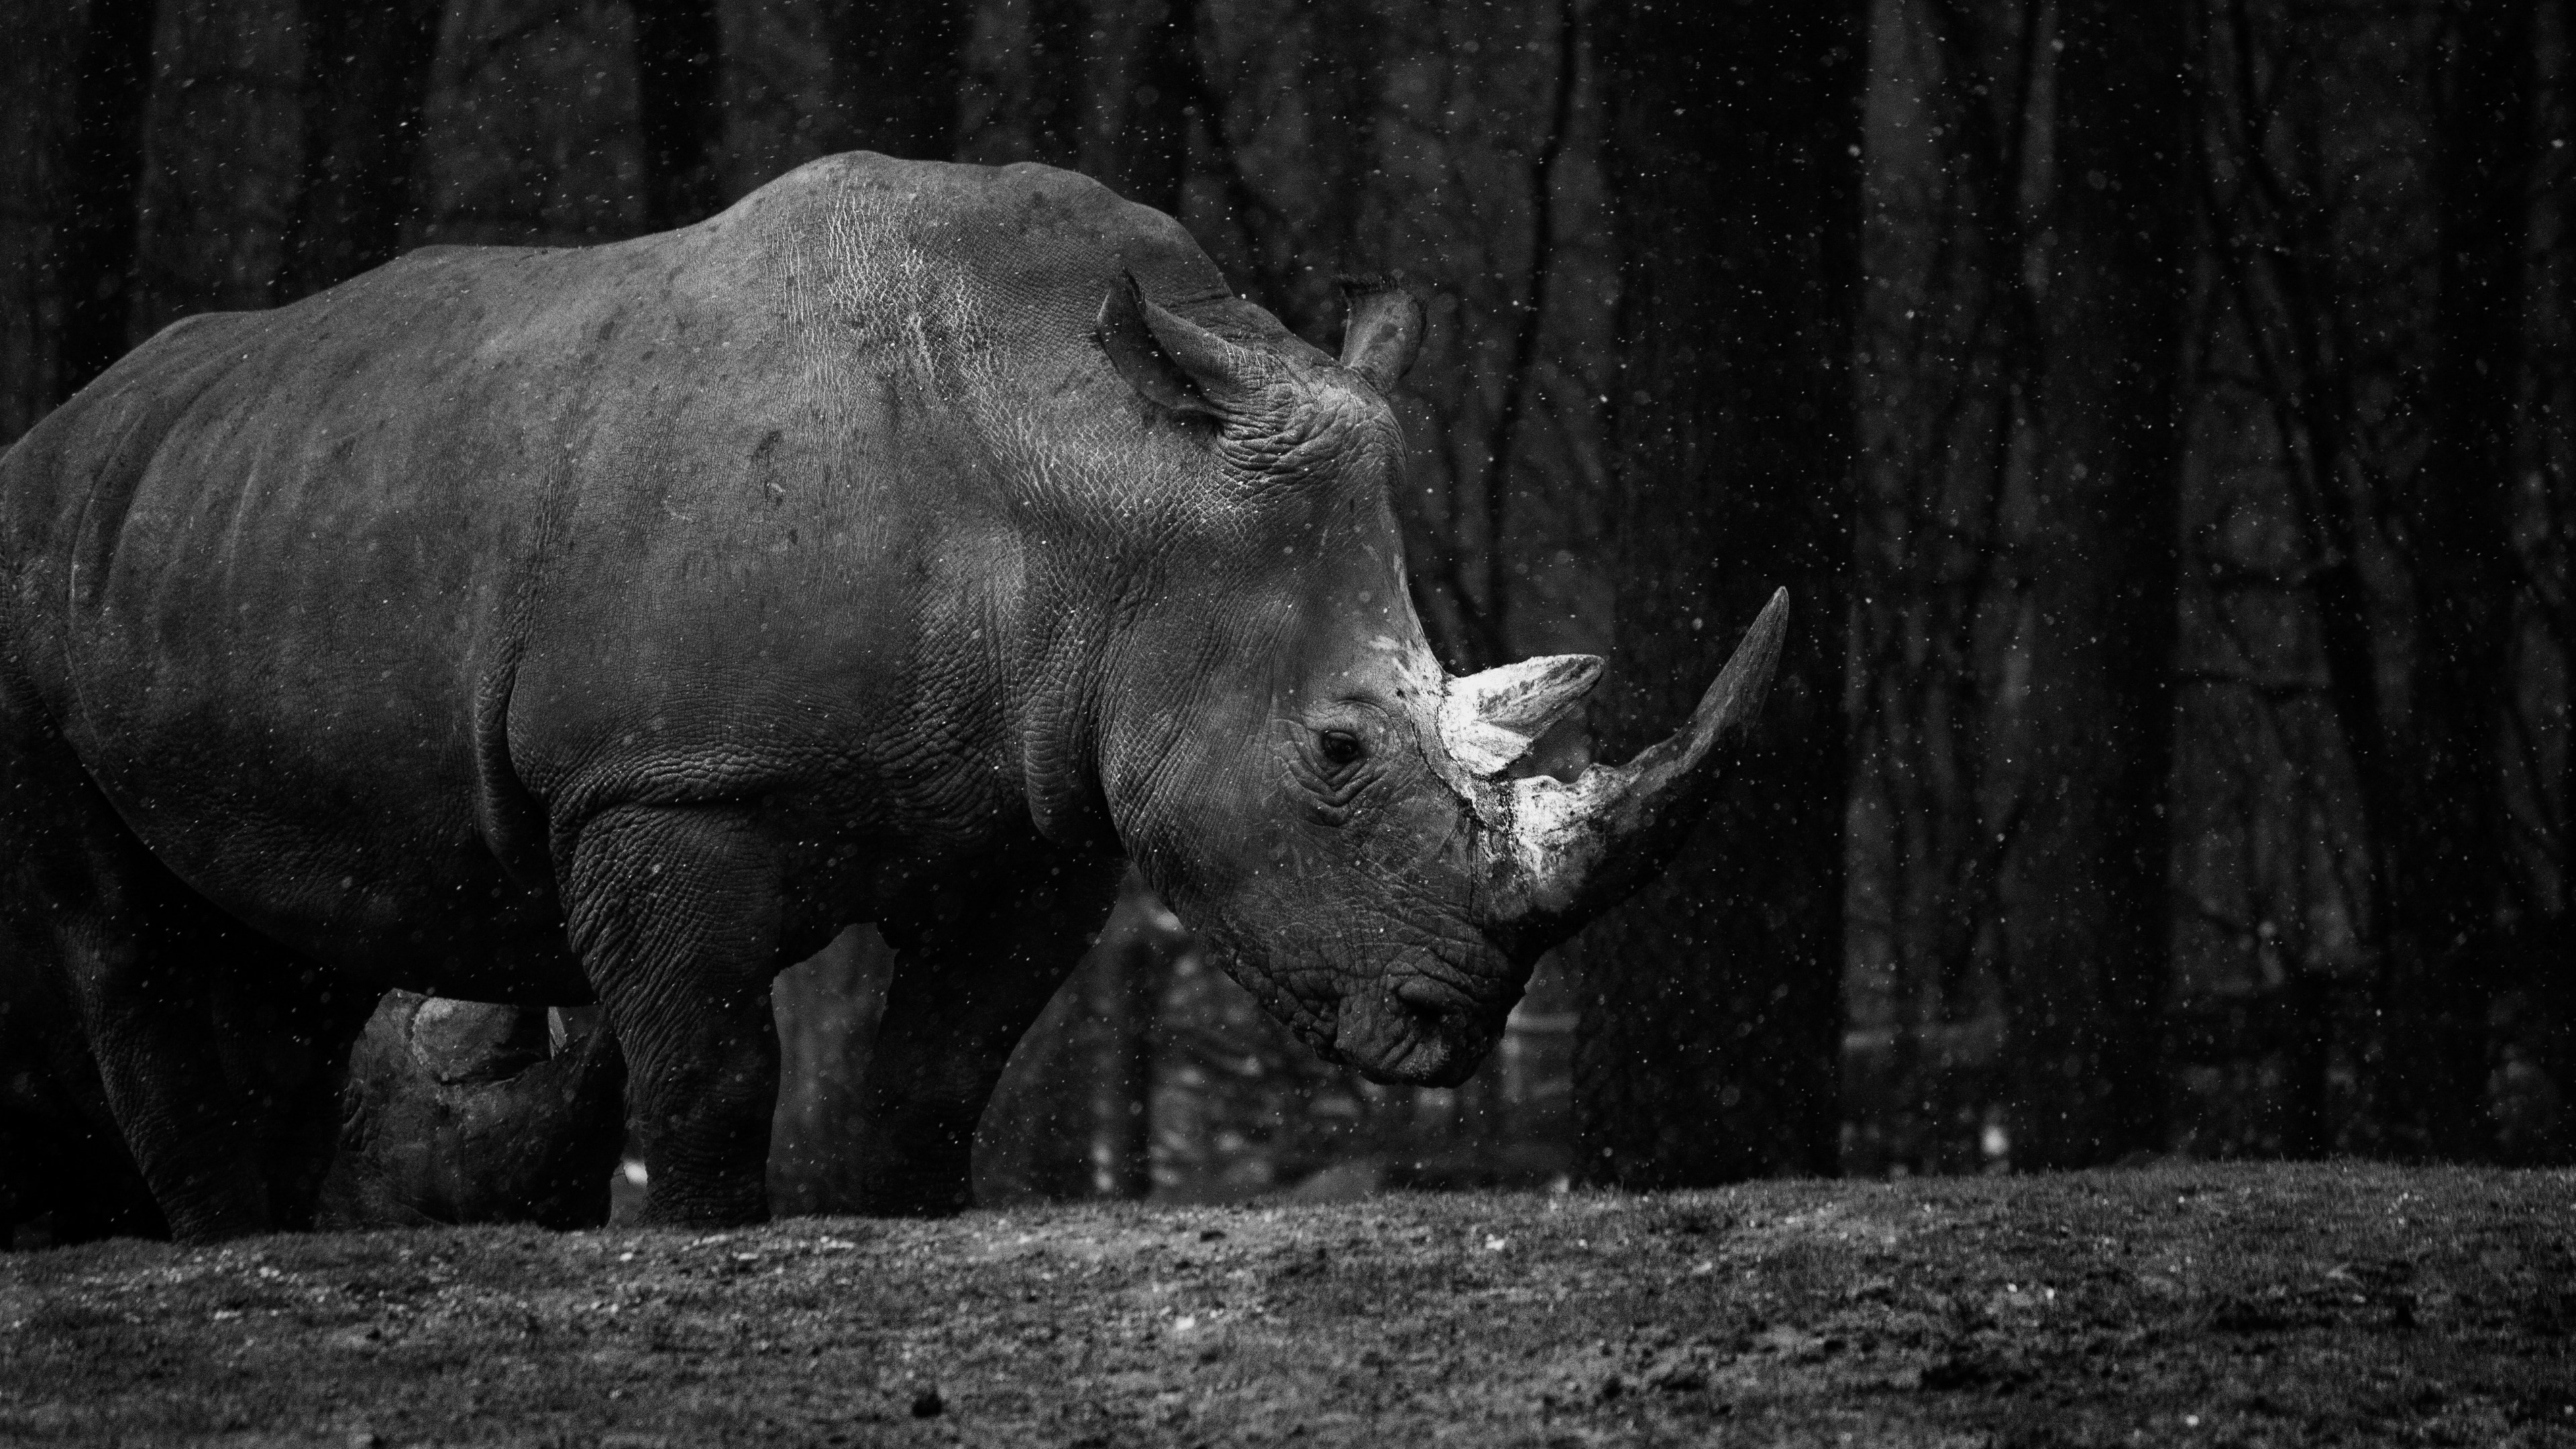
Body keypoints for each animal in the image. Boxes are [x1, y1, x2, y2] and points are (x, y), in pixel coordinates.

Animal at [0, 154, 1786, 1239]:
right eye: (1337, 750)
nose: (1450, 1024)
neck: (1097, 472)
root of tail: (63, 424)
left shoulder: (1042, 812)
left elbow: (936, 1070)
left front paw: (887, 1212)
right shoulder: (666, 780)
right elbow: (710, 1068)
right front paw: (694, 1238)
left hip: (245, 516)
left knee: (288, 934)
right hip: (37, 568)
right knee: (125, 931)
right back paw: (230, 1242)